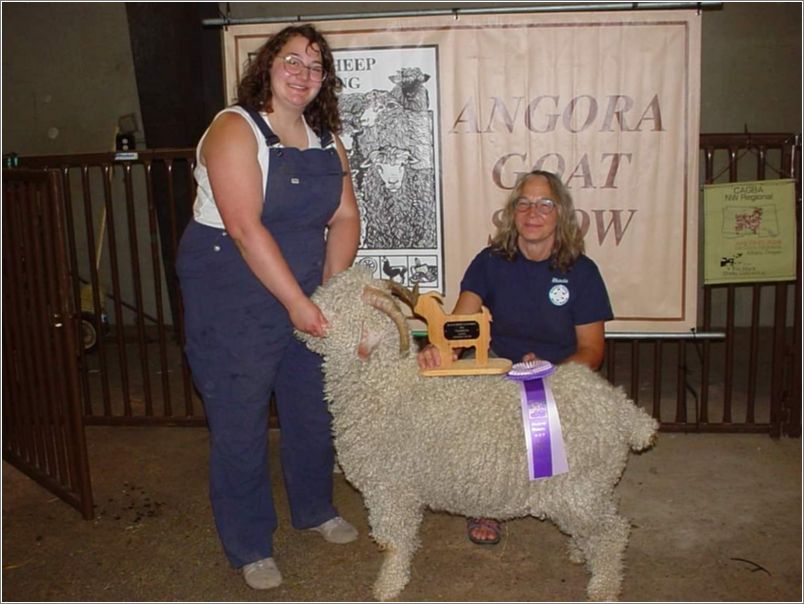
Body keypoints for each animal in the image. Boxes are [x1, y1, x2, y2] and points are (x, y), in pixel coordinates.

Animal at [298, 266, 656, 600]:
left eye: (339, 305)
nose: (303, 316)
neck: (387, 389)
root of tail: (625, 411)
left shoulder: (391, 489)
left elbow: (394, 542)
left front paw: (388, 585)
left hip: (580, 488)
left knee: (611, 534)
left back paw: (603, 587)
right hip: (586, 491)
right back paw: (580, 554)